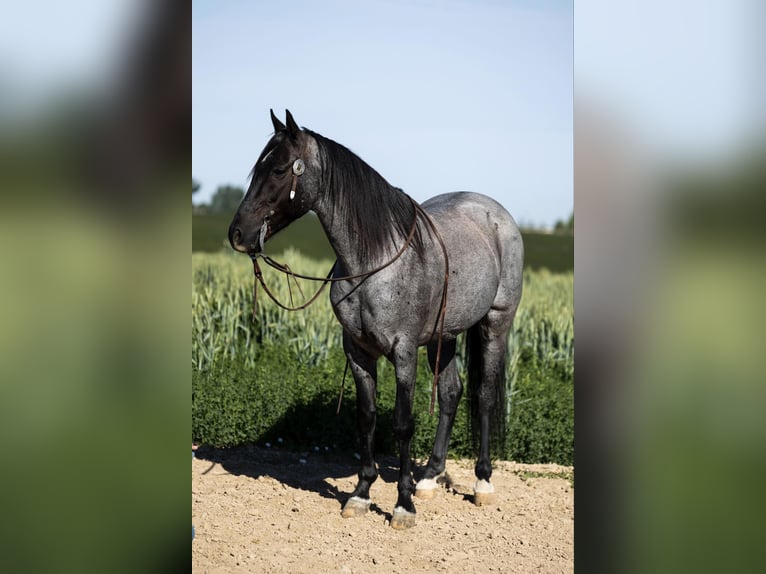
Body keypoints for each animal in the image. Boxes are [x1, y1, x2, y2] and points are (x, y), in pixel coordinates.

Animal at [228, 110, 523, 529]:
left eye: (280, 169)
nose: (238, 234)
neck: (373, 260)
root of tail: (497, 215)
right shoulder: (357, 351)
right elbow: (366, 418)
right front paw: (361, 493)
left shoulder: (403, 352)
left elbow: (402, 423)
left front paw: (402, 505)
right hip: (444, 337)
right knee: (451, 394)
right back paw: (429, 478)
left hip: (494, 325)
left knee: (483, 396)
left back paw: (482, 483)